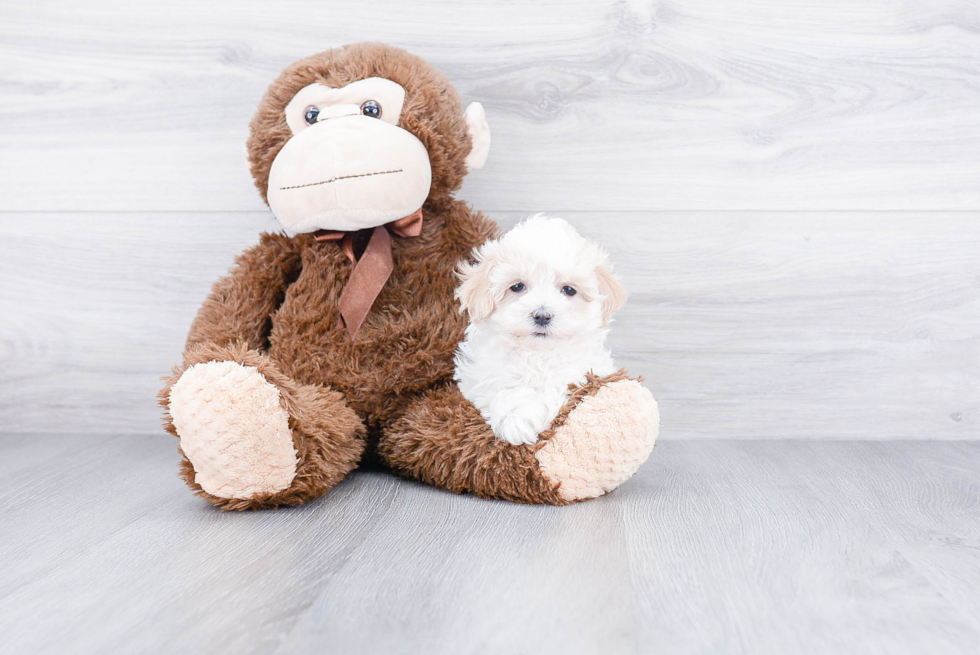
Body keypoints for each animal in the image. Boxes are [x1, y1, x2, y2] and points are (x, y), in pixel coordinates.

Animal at [454, 215, 628, 446]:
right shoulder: (479, 378)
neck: (537, 355)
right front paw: (517, 420)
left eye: (569, 290)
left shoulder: (583, 372)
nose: (542, 315)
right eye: (517, 287)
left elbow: (558, 388)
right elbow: (505, 390)